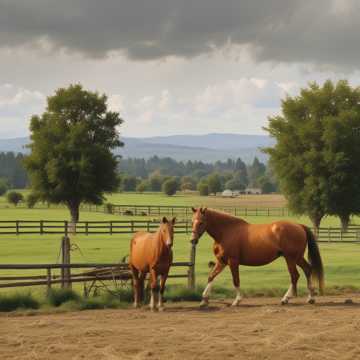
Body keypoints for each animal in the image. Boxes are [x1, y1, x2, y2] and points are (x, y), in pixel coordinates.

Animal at [191, 208, 326, 306]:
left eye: (201, 222)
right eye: (192, 222)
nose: (193, 240)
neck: (227, 231)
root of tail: (299, 226)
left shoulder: (232, 262)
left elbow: (236, 280)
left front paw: (237, 300)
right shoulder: (221, 261)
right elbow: (211, 277)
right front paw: (204, 300)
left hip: (290, 258)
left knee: (295, 276)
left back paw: (286, 298)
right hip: (297, 258)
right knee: (307, 269)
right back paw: (310, 298)